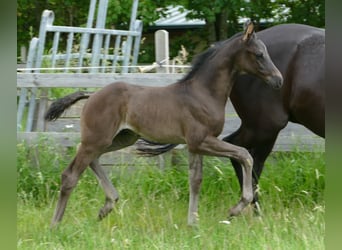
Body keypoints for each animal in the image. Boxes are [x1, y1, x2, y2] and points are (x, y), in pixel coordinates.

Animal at [43, 22, 284, 229]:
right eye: (259, 54)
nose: (279, 80)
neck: (203, 93)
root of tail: (92, 95)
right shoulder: (201, 141)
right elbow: (245, 154)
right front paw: (236, 208)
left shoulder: (195, 145)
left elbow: (196, 180)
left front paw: (192, 223)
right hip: (97, 139)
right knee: (70, 175)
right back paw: (55, 225)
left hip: (121, 137)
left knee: (93, 159)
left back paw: (108, 205)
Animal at [138, 23, 324, 213]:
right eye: (259, 54)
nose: (279, 80)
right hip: (265, 126)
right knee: (247, 156)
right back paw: (252, 210)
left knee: (243, 154)